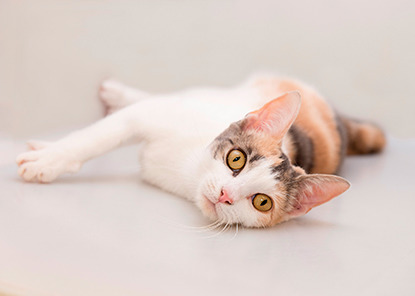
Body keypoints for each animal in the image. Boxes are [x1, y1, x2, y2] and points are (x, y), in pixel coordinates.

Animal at [16, 73, 386, 228]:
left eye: (262, 202)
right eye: (235, 159)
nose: (225, 195)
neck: (188, 173)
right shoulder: (150, 117)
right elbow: (97, 136)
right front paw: (49, 159)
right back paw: (119, 93)